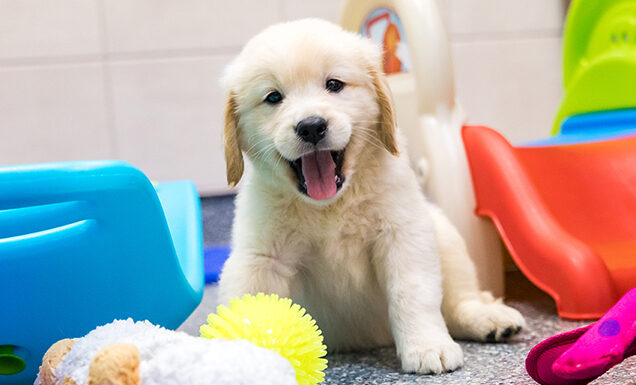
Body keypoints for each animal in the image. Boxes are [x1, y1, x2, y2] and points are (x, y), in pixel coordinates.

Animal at [216, 18, 524, 372]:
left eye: (334, 84)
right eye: (273, 97)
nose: (311, 126)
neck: (329, 206)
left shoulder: (403, 234)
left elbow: (413, 293)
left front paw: (427, 347)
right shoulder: (261, 258)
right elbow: (248, 305)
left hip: (444, 234)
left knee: (459, 300)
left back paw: (490, 319)